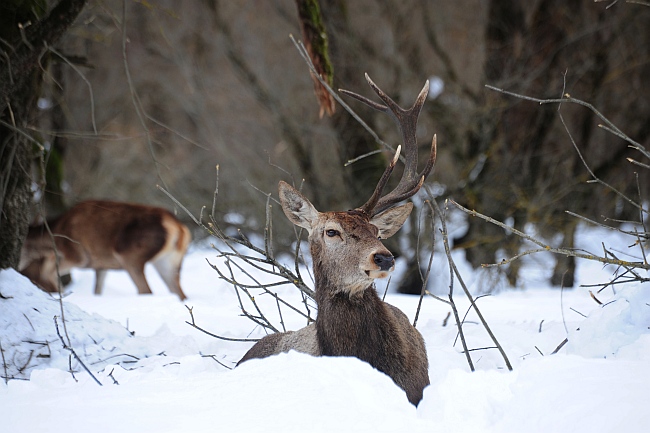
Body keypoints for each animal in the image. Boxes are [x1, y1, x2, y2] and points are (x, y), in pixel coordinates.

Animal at [18, 200, 190, 298]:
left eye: (22, 241)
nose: (17, 265)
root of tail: (179, 228)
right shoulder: (101, 265)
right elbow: (97, 290)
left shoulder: (78, 256)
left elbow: (46, 271)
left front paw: (59, 294)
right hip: (168, 261)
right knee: (179, 293)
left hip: (130, 255)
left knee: (146, 290)